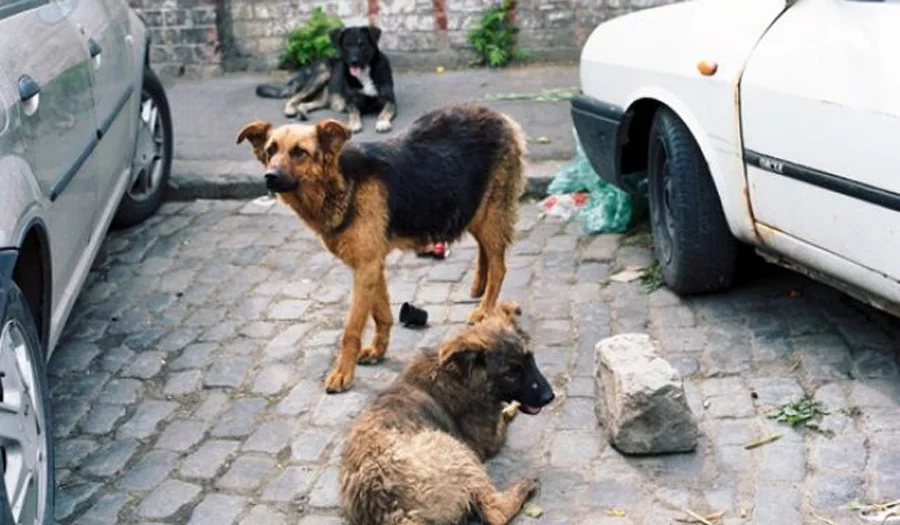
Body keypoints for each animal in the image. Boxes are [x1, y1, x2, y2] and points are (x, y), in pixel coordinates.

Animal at [235, 104, 527, 393]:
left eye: (299, 152)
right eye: (271, 150)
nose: (270, 177)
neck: (341, 182)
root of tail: (501, 117)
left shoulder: (366, 266)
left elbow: (352, 330)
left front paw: (343, 373)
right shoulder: (371, 265)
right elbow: (381, 313)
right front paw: (378, 350)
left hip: (489, 214)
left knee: (499, 266)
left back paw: (485, 309)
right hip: (473, 212)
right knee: (485, 250)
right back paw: (478, 285)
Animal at [256, 25, 397, 134]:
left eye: (362, 44)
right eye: (347, 45)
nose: (353, 61)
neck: (364, 72)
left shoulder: (390, 99)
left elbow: (385, 110)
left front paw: (382, 122)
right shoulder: (350, 101)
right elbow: (354, 112)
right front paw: (354, 124)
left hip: (324, 98)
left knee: (304, 104)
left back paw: (302, 112)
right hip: (321, 74)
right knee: (295, 97)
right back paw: (290, 110)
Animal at [340, 302, 556, 525]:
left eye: (531, 359)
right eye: (511, 374)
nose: (550, 396)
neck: (459, 373)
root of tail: (393, 509)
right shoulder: (489, 439)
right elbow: (502, 419)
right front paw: (510, 408)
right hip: (458, 451)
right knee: (495, 511)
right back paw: (524, 485)